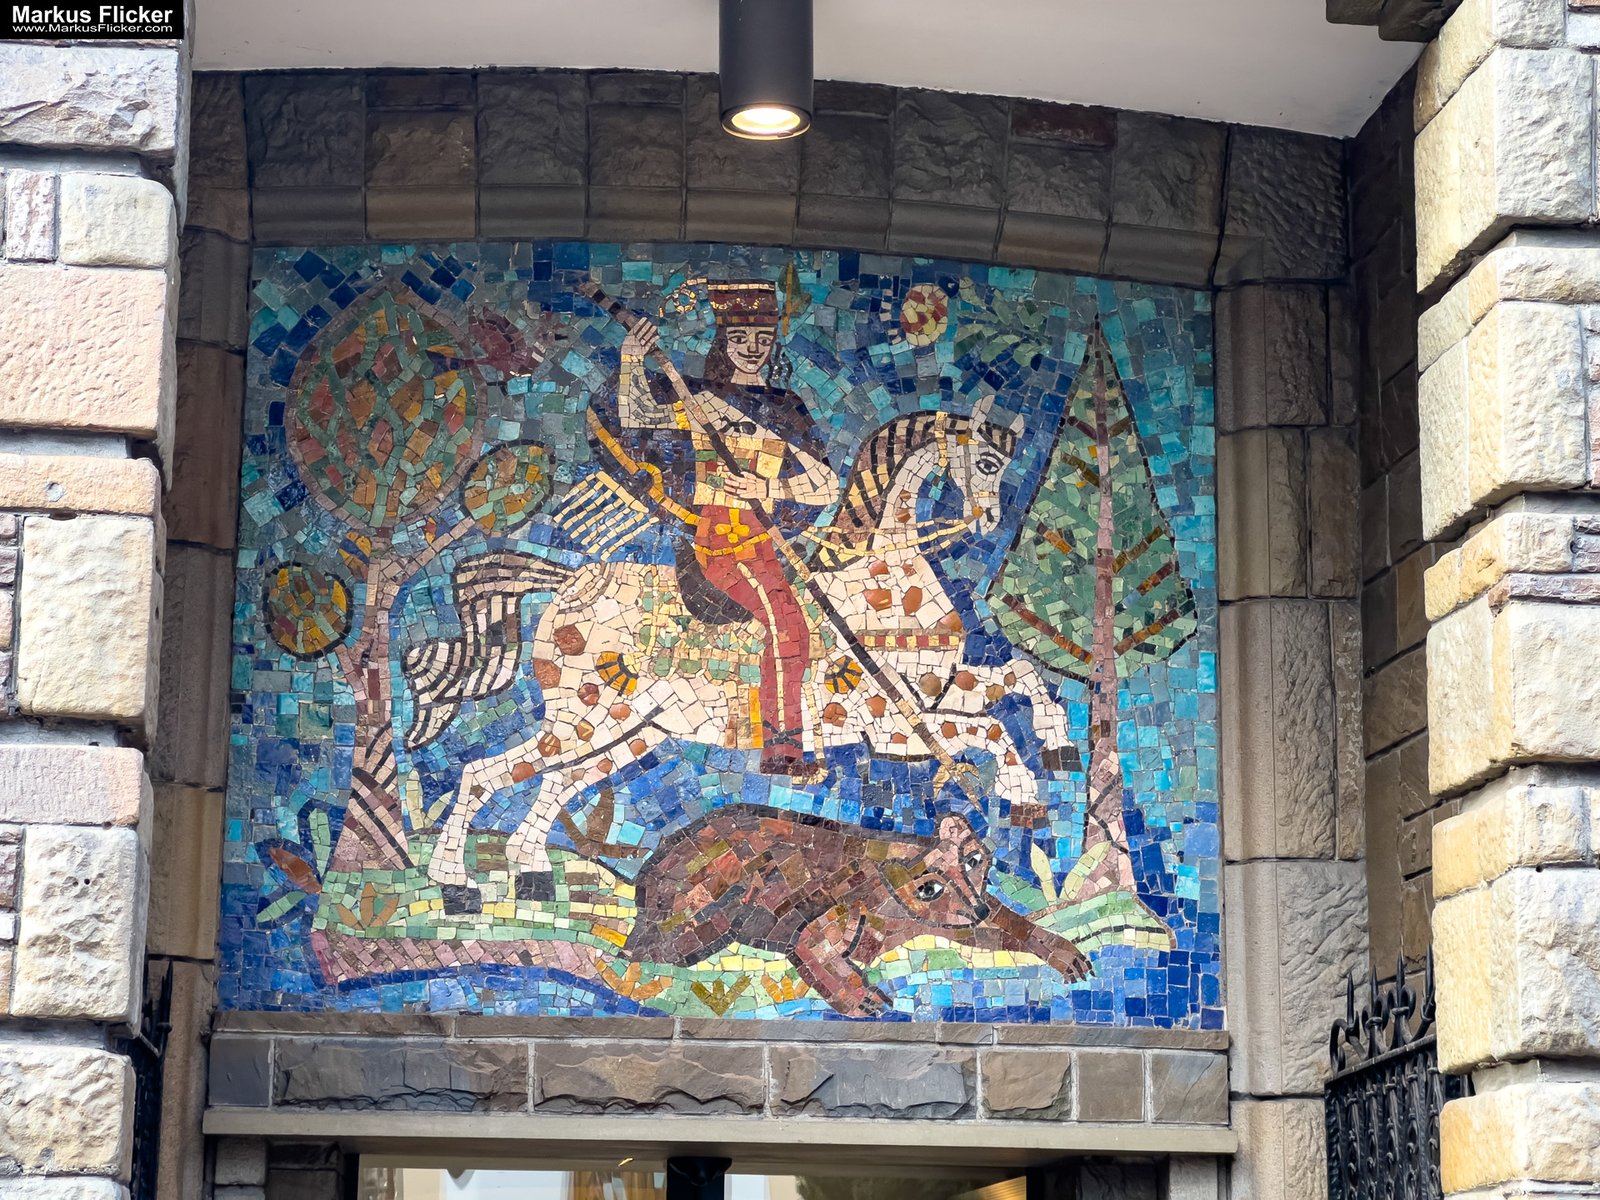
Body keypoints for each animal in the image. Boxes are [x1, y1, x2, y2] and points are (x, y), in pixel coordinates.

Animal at [407, 400, 1080, 908]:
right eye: (986, 461)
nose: (987, 520)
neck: (876, 587)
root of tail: (572, 580)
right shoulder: (892, 730)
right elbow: (990, 729)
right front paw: (1022, 793)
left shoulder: (934, 691)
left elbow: (1018, 678)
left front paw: (1056, 749)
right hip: (585, 717)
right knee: (485, 774)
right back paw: (456, 882)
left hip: (630, 733)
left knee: (555, 785)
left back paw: (529, 874)